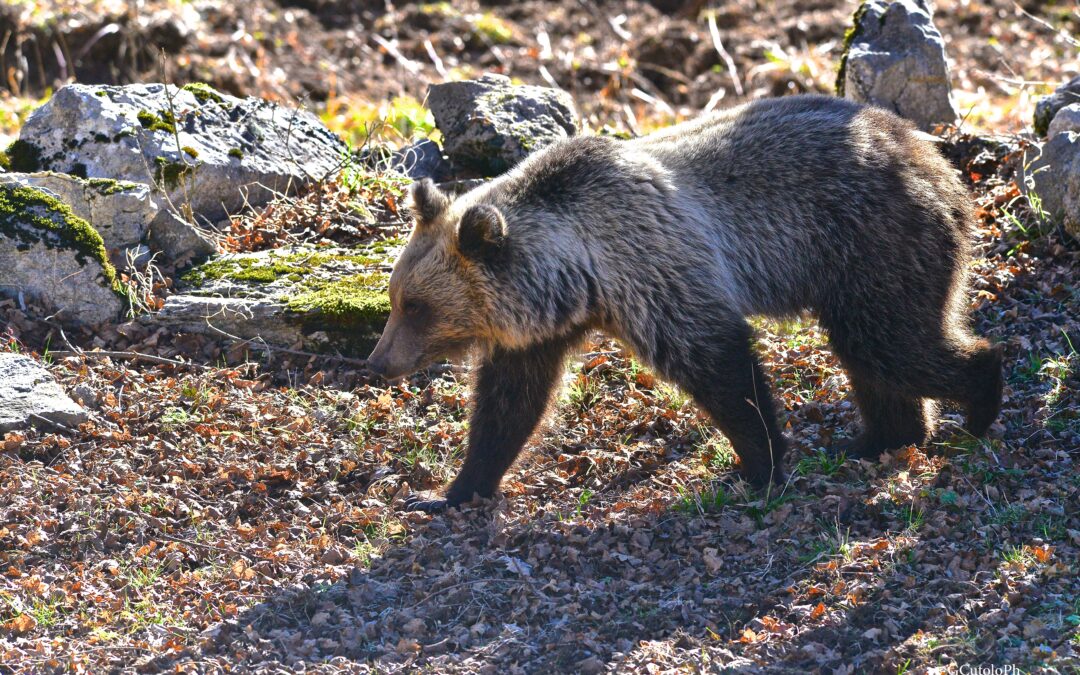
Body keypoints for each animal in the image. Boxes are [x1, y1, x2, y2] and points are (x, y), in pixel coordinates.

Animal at [365, 94, 1004, 512]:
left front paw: (759, 465)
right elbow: (509, 406)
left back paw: (979, 403)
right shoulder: (540, 329)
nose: (378, 361)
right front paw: (445, 492)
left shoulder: (657, 271)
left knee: (889, 341)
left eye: (417, 306)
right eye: (396, 298)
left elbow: (721, 368)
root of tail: (933, 158)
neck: (578, 273)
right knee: (877, 356)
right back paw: (880, 438)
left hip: (873, 243)